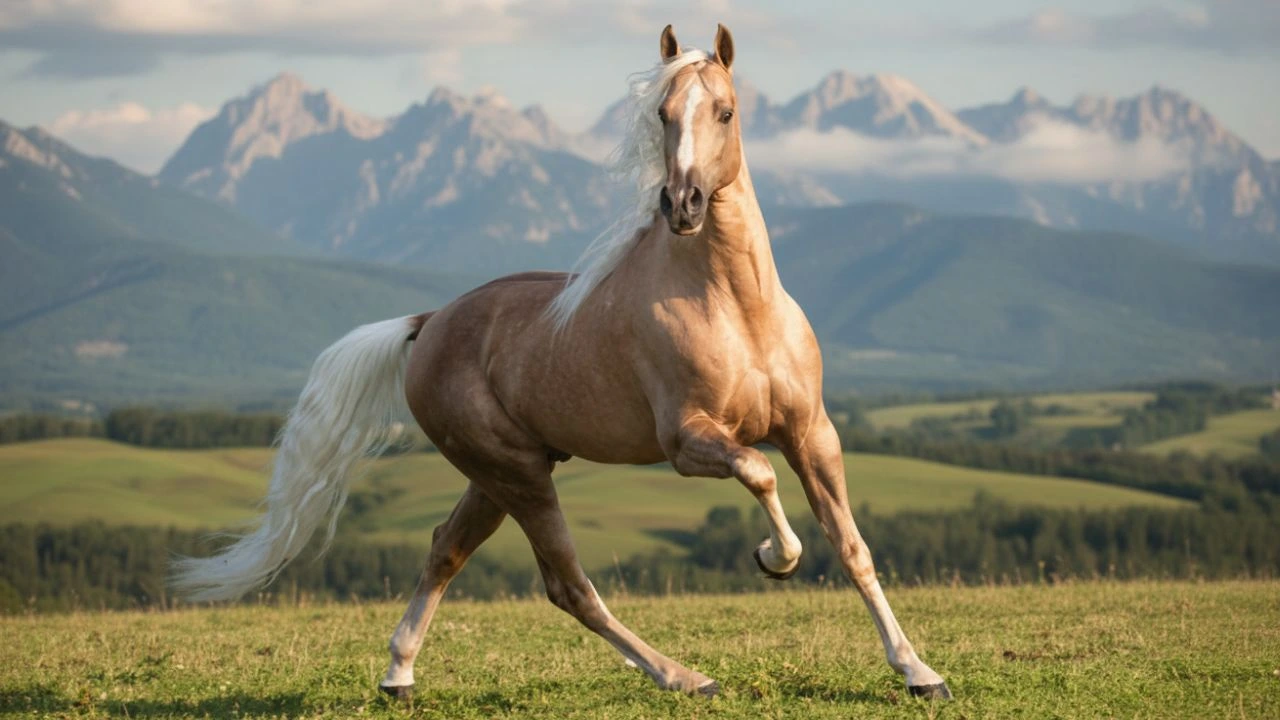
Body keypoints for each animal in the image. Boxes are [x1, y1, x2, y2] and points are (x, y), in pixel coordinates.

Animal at [172, 23, 951, 702]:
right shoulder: (688, 442)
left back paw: (399, 677)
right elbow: (759, 473)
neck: (737, 309)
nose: (684, 204)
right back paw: (684, 676)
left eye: (725, 112)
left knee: (445, 550)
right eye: (662, 114)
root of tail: (428, 325)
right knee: (569, 586)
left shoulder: (813, 433)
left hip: (498, 476)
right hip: (518, 475)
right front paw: (774, 559)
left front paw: (918, 672)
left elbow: (853, 546)